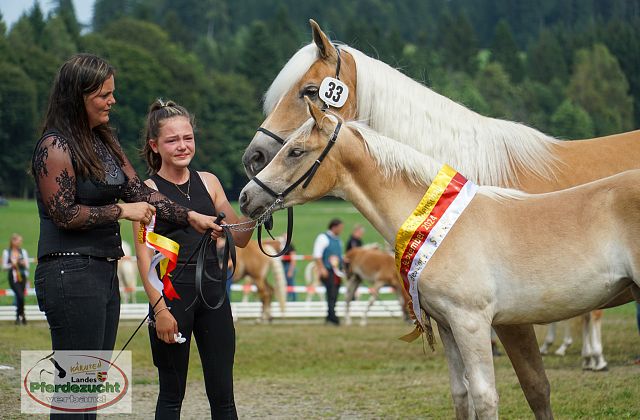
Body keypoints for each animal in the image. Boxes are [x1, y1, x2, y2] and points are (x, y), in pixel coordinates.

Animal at [241, 20, 640, 416]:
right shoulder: (449, 326)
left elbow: (505, 393)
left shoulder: (477, 322)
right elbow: (462, 394)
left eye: (296, 150)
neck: (444, 220)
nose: (247, 191)